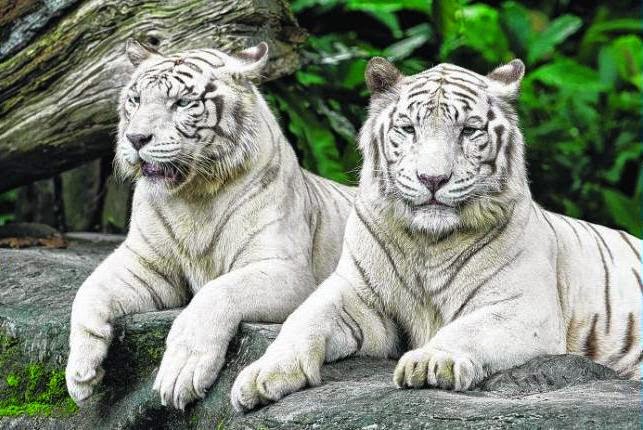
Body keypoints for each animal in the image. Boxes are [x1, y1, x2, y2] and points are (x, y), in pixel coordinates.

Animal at [65, 39, 354, 410]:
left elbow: (216, 292)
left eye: (182, 103)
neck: (193, 197)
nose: (136, 138)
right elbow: (88, 291)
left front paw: (181, 373)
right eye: (136, 99)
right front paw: (80, 373)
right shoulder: (144, 262)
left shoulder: (286, 270)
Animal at [231, 57, 642, 412]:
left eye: (469, 130)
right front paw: (260, 376)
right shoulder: (355, 294)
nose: (433, 179)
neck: (427, 243)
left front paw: (430, 362)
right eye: (409, 128)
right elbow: (303, 320)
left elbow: (469, 329)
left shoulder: (524, 308)